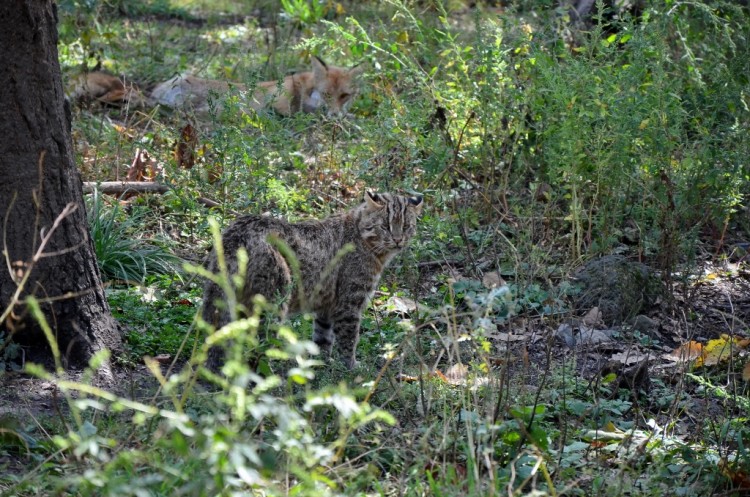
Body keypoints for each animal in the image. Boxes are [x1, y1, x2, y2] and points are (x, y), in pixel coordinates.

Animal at [203, 192, 424, 370]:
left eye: (406, 226)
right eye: (385, 226)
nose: (398, 240)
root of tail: (238, 233)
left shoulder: (326, 306)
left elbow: (323, 338)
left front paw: (322, 364)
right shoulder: (349, 303)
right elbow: (349, 339)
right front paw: (351, 368)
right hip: (275, 299)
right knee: (257, 342)